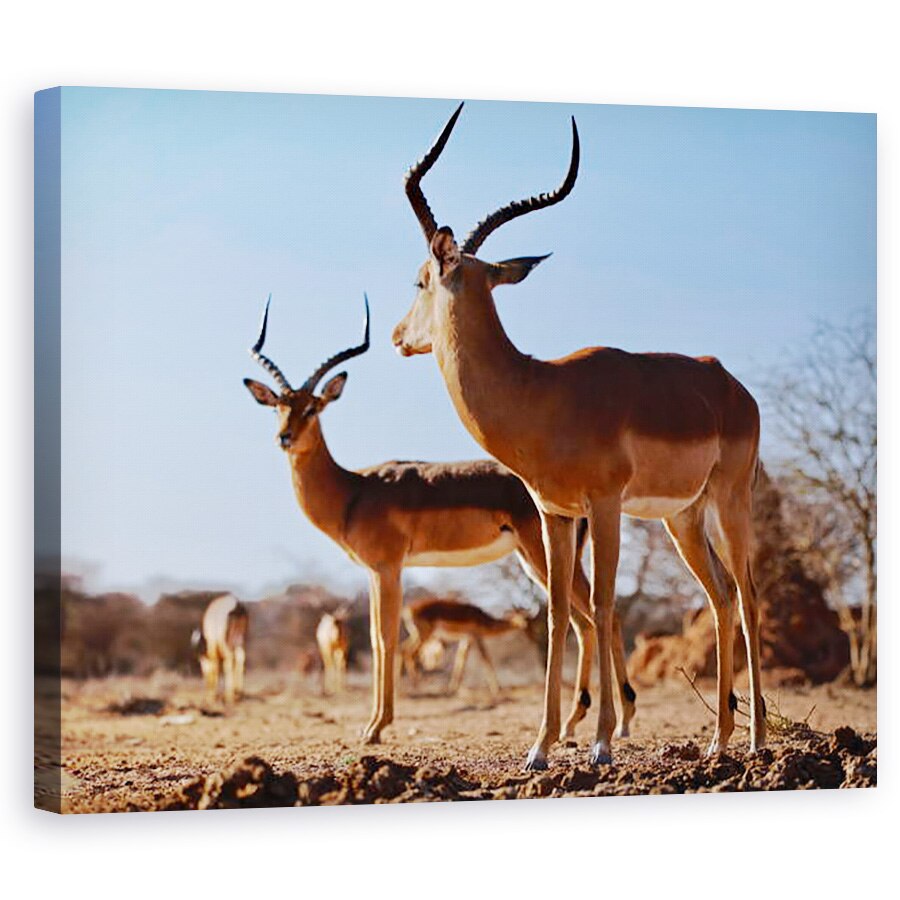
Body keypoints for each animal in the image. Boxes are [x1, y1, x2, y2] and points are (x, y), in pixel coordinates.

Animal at [243, 297, 636, 745]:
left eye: (312, 407)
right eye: (278, 406)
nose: (284, 438)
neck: (353, 490)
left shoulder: (387, 567)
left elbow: (384, 639)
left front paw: (377, 726)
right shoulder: (375, 572)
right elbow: (378, 641)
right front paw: (373, 723)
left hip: (540, 554)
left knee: (598, 615)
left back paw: (618, 721)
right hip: (539, 560)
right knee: (584, 621)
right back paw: (578, 723)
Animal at [392, 103, 766, 770]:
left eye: (419, 280)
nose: (396, 336)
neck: (539, 393)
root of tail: (730, 384)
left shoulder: (605, 505)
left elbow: (603, 604)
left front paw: (601, 743)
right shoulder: (554, 513)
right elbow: (560, 615)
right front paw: (540, 747)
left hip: (729, 501)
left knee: (746, 595)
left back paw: (754, 742)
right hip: (682, 517)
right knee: (722, 596)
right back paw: (718, 740)